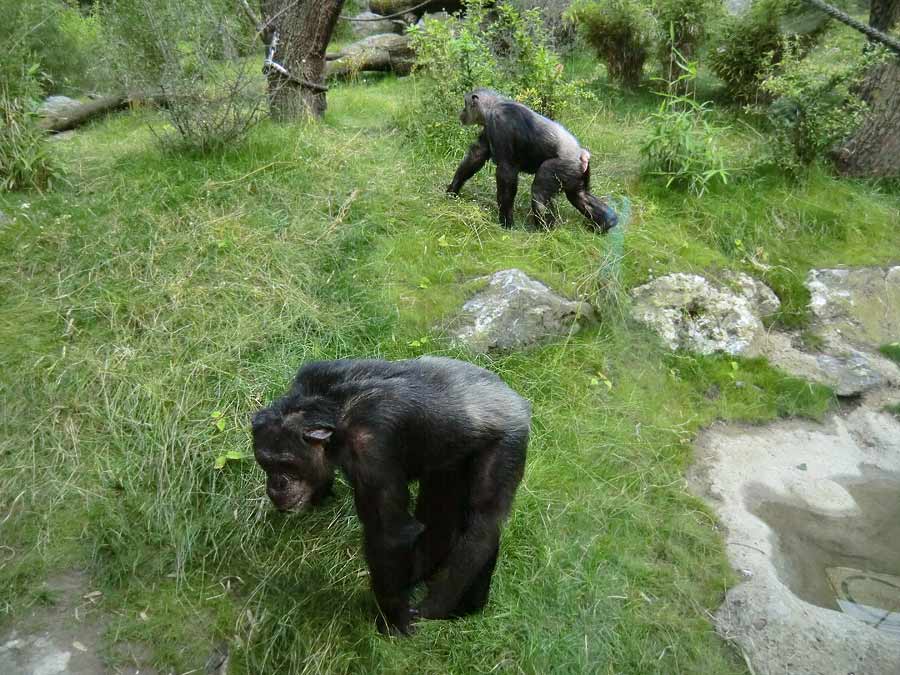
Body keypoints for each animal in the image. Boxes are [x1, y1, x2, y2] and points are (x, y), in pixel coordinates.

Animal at [250, 356, 532, 636]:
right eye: (266, 462)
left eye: (286, 464)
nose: (276, 484)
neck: (333, 407)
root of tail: (515, 399)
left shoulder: (372, 447)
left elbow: (389, 535)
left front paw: (394, 620)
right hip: (450, 460)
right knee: (440, 513)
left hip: (508, 440)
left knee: (483, 522)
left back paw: (443, 606)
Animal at [444, 88, 616, 234]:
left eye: (465, 104)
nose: (462, 112)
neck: (493, 106)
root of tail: (583, 156)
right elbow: (477, 155)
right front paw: (452, 190)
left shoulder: (501, 123)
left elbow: (506, 171)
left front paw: (506, 222)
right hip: (576, 174)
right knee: (580, 196)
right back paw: (606, 223)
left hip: (562, 166)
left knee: (540, 192)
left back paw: (544, 230)